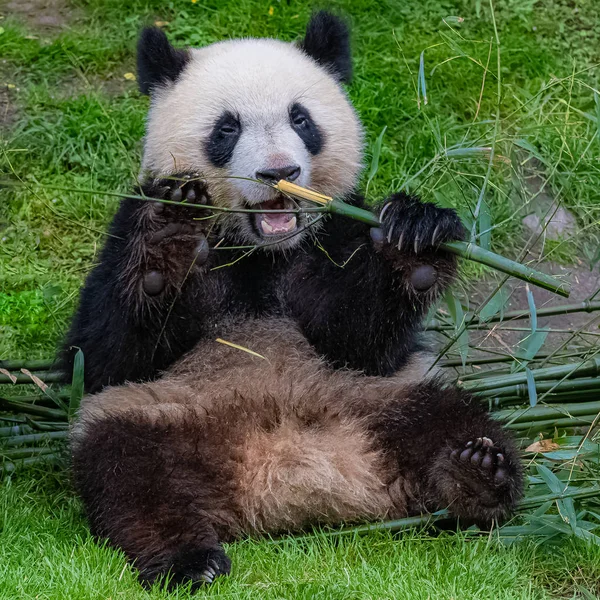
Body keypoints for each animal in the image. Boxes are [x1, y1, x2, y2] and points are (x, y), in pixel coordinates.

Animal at [65, 14, 524, 592]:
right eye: (227, 129)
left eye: (301, 118)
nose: (278, 172)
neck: (263, 250)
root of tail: (288, 480)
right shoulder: (130, 225)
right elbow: (99, 354)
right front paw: (169, 241)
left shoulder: (338, 231)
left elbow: (363, 340)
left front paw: (414, 240)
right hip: (156, 414)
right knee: (130, 476)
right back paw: (187, 560)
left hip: (384, 398)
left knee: (452, 419)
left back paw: (475, 476)